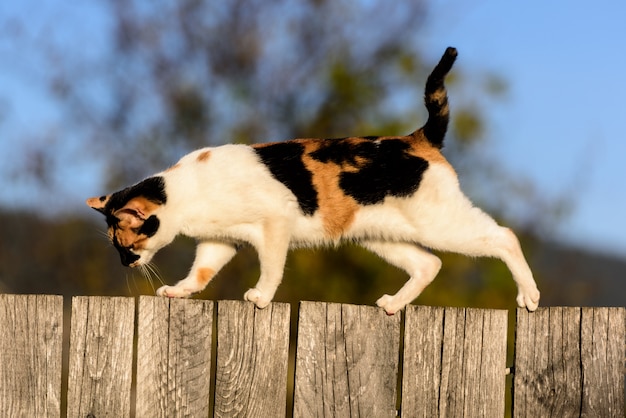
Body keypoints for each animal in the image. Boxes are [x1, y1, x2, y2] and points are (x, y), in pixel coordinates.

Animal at [85, 48, 540, 314]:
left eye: (126, 244)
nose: (126, 263)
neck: (187, 192)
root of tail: (417, 137)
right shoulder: (220, 241)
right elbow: (201, 272)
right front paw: (180, 291)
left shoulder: (275, 224)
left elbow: (271, 268)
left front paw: (261, 296)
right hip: (382, 236)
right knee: (429, 264)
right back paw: (394, 304)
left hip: (442, 224)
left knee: (504, 236)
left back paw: (529, 296)